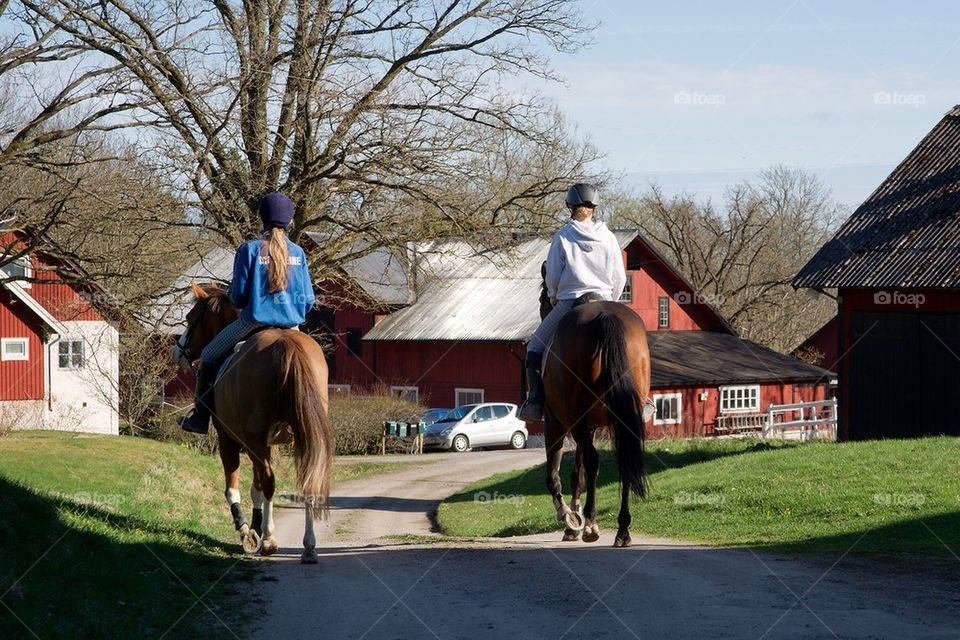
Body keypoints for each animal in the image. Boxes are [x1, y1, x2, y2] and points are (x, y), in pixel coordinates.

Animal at [172, 282, 334, 564]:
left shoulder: (232, 440)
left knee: (269, 481)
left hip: (253, 439)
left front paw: (248, 531)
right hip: (301, 436)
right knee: (306, 481)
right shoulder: (263, 444)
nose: (177, 350)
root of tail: (287, 344)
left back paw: (269, 539)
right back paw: (309, 546)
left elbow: (235, 488)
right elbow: (256, 487)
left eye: (190, 318)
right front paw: (256, 528)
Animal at [540, 274, 652, 544]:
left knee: (593, 461)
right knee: (623, 460)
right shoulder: (588, 427)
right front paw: (573, 519)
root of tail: (603, 316)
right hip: (621, 419)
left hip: (574, 420)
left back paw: (591, 523)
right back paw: (623, 529)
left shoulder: (555, 422)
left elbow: (555, 476)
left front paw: (568, 518)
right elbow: (577, 476)